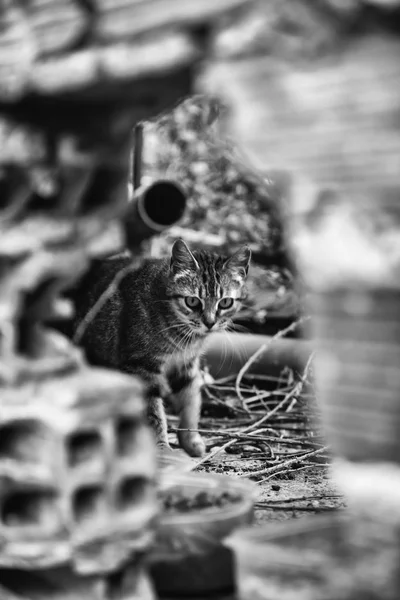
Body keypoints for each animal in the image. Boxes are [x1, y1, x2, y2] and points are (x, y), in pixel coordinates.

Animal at [72, 238, 250, 454]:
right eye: (192, 301)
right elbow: (154, 414)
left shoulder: (186, 365)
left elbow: (191, 402)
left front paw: (191, 438)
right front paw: (162, 447)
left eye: (225, 303)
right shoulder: (141, 369)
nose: (209, 322)